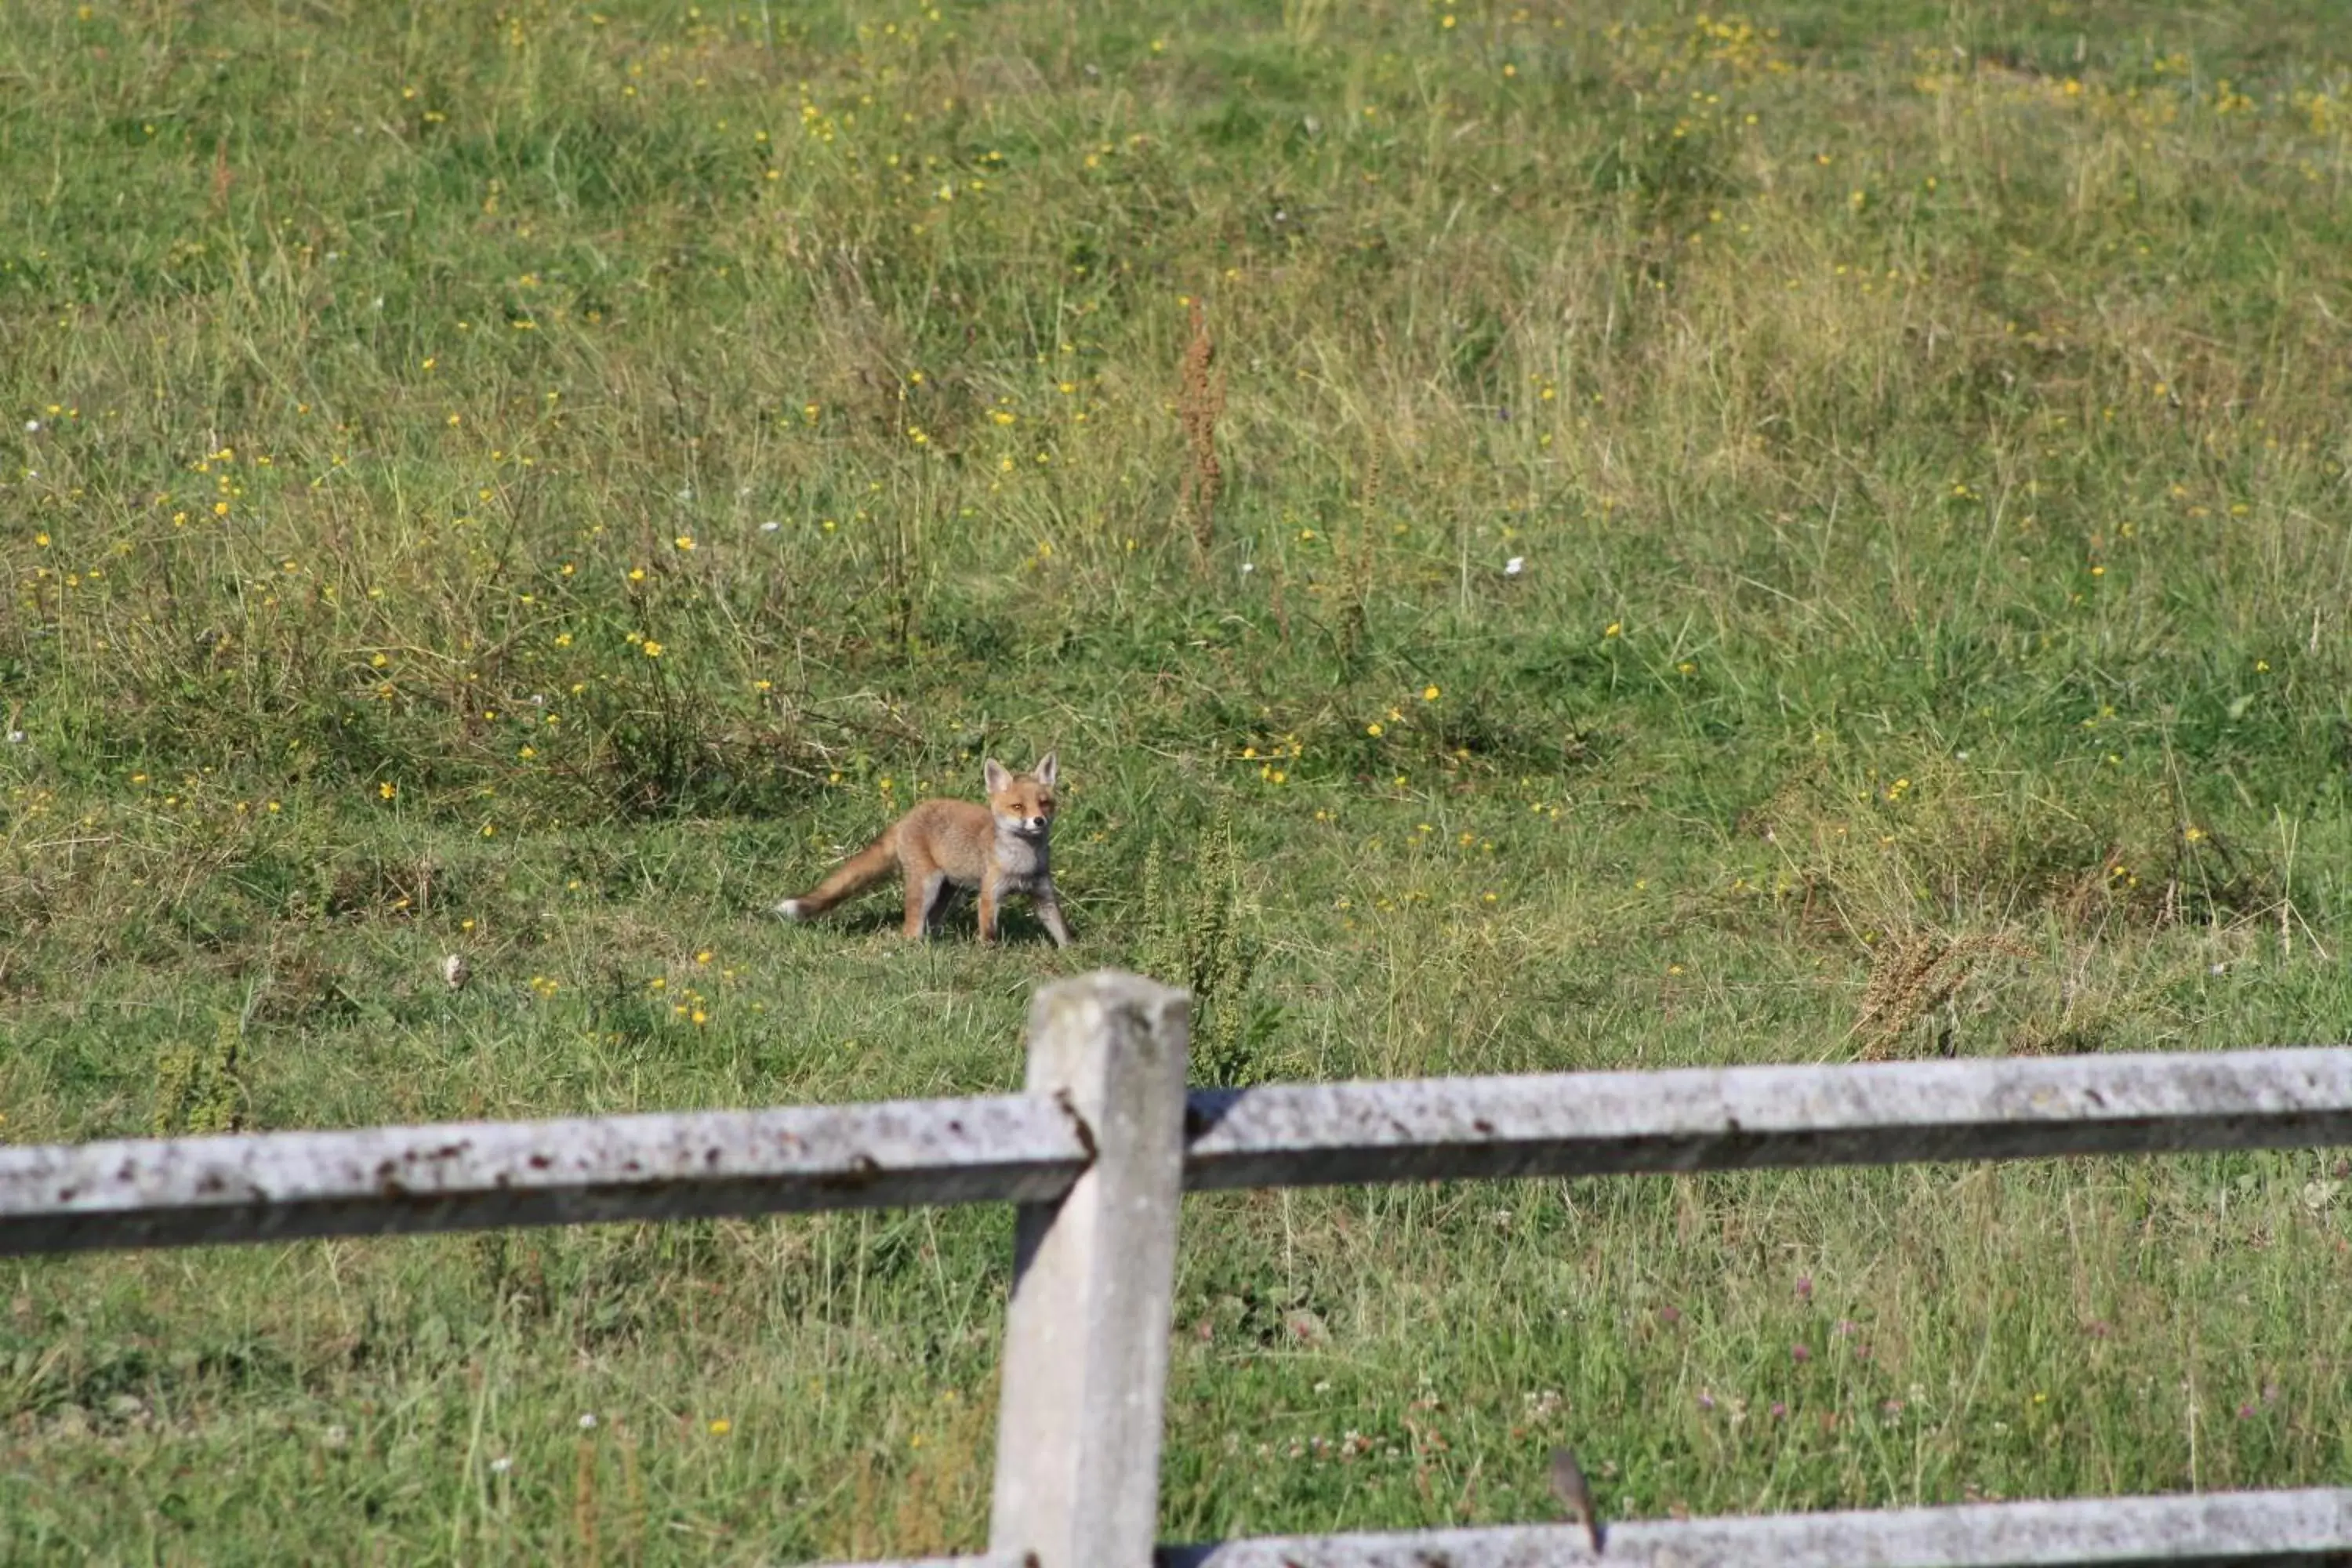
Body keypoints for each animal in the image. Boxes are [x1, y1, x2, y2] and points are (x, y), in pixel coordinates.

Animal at [771, 757, 1077, 945]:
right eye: (1018, 807)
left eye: (1044, 803)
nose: (1039, 821)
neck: (1022, 863)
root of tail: (907, 816)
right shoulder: (990, 896)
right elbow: (988, 935)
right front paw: (990, 956)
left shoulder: (1043, 894)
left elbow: (1061, 931)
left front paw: (1071, 954)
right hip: (927, 885)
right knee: (911, 928)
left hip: (948, 893)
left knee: (929, 925)